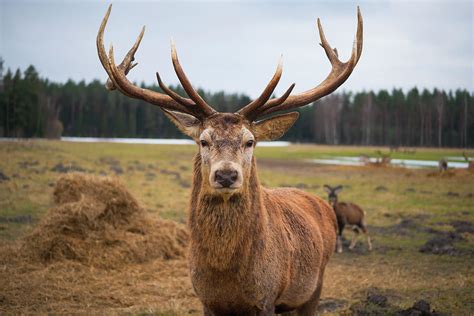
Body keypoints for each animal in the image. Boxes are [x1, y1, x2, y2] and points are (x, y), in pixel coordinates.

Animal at [96, 4, 362, 314]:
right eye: (203, 140)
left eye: (250, 141)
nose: (226, 175)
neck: (227, 278)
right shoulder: (206, 300)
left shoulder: (267, 298)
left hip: (315, 285)